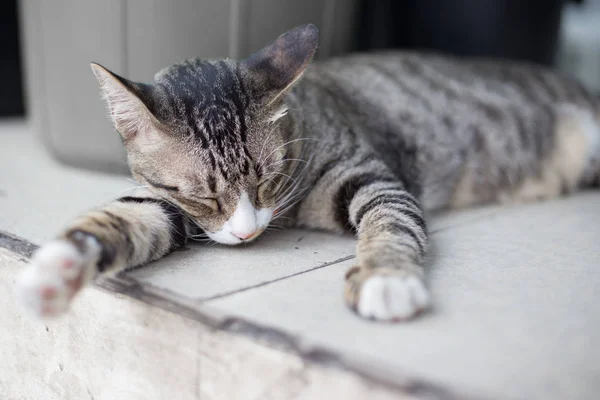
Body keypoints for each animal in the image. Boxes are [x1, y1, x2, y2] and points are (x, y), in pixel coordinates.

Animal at [16, 24, 600, 322]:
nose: (246, 232)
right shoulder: (168, 203)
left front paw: (388, 278)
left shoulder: (369, 172)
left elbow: (392, 219)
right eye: (203, 197)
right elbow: (122, 218)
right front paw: (56, 270)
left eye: (267, 180)